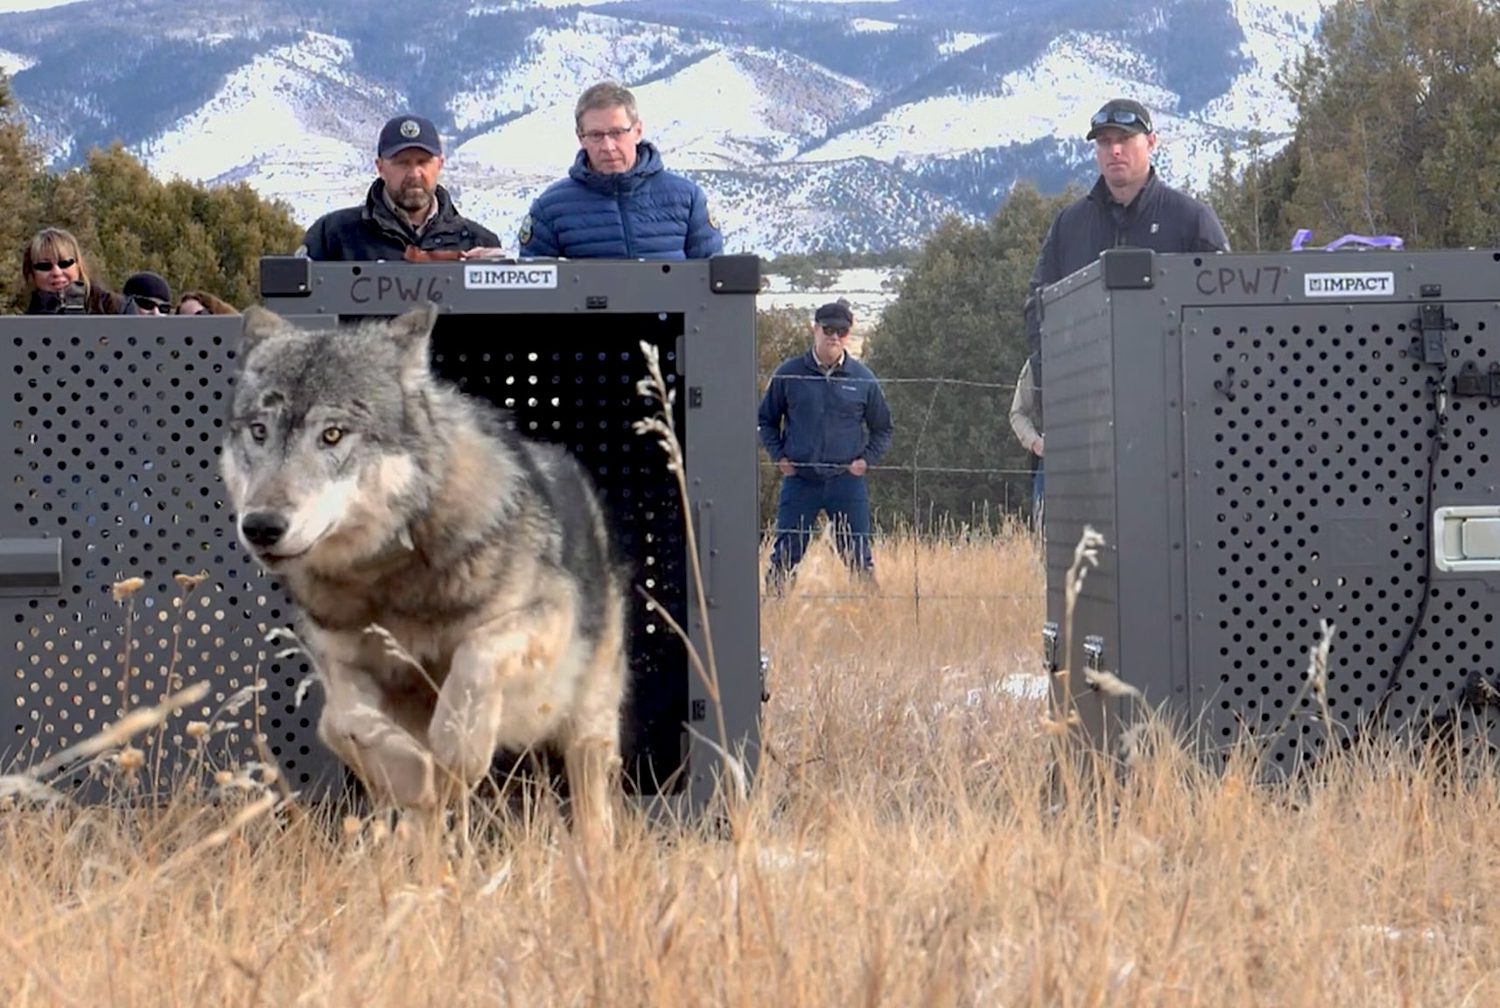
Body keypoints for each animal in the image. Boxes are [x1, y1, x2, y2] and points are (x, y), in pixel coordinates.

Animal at [221, 303, 629, 839]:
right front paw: (414, 772)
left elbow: (476, 654)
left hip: (588, 731)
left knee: (595, 809)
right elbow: (339, 721)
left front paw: (457, 749)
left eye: (332, 434)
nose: (262, 526)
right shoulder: (341, 663)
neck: (387, 580)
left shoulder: (544, 619)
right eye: (259, 432)